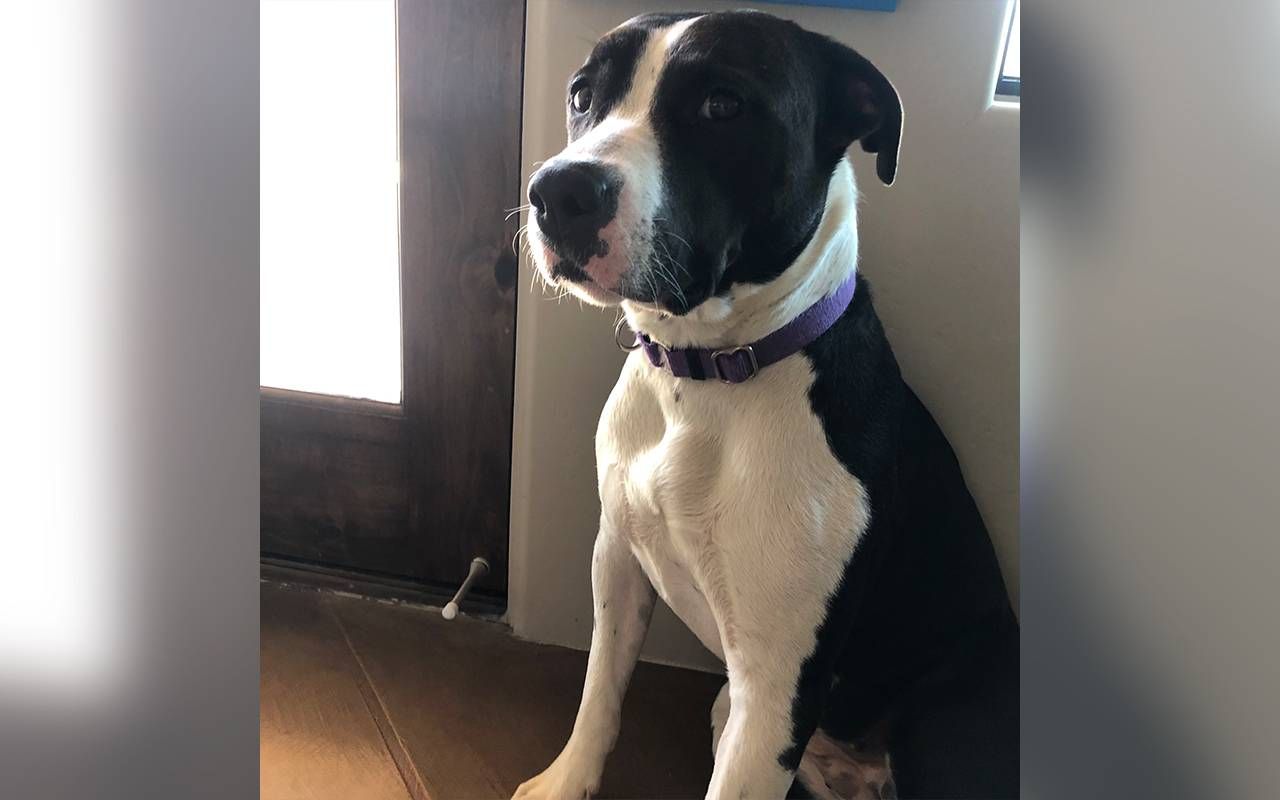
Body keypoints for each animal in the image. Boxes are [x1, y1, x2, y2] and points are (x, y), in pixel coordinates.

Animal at [519, 12, 1018, 798]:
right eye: (582, 94)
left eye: (722, 105)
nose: (559, 191)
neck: (704, 376)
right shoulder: (618, 560)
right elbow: (600, 693)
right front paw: (566, 781)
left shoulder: (777, 687)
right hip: (736, 712)